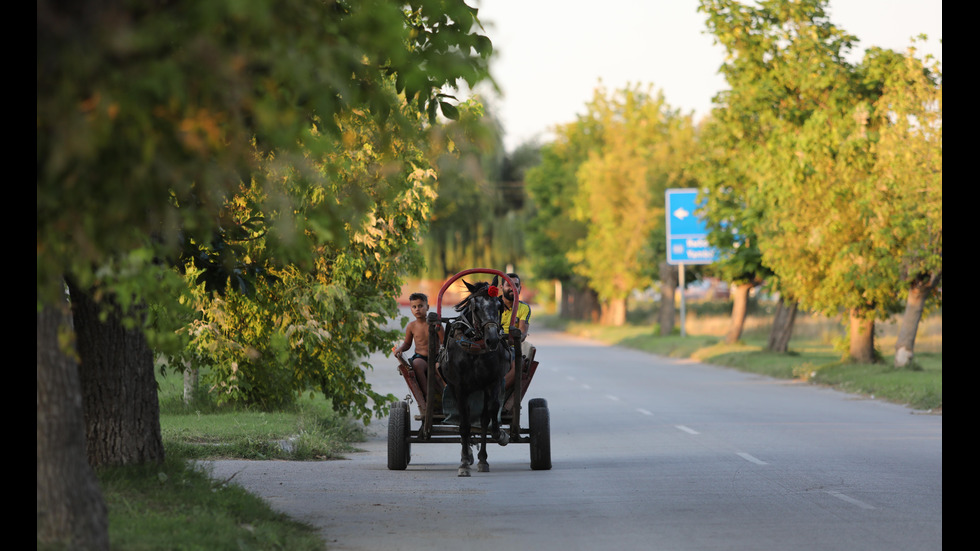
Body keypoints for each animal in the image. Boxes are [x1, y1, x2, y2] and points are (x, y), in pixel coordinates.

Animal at [442, 278, 512, 476]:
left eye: (499, 305)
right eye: (476, 306)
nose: (493, 339)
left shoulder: (492, 383)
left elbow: (489, 418)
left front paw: (501, 436)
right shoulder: (460, 388)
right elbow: (464, 425)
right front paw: (464, 463)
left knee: (482, 420)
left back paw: (481, 458)